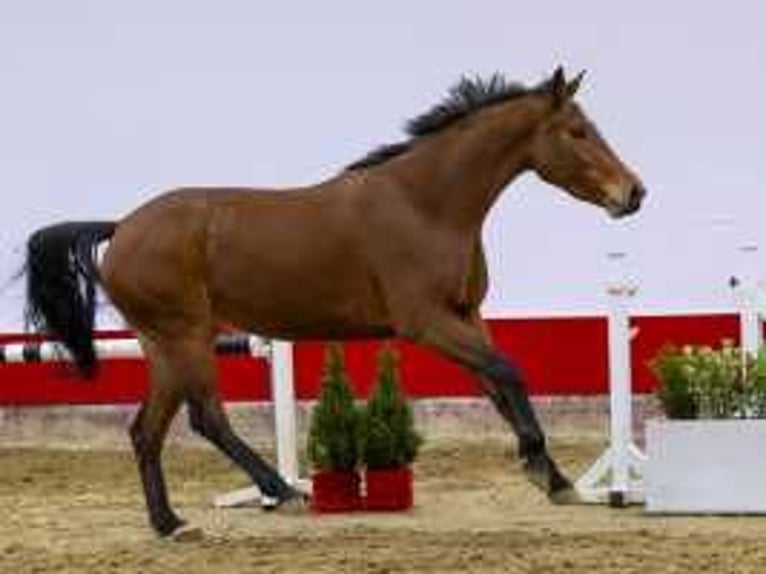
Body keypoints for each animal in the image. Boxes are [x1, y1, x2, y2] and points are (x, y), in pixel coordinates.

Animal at [24, 67, 644, 540]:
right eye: (577, 131)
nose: (633, 193)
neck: (427, 204)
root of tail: (122, 228)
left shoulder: (467, 316)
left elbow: (498, 384)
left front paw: (553, 477)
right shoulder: (427, 322)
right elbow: (508, 371)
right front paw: (544, 469)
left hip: (163, 345)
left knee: (145, 431)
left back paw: (171, 524)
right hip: (186, 336)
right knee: (205, 418)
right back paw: (279, 492)